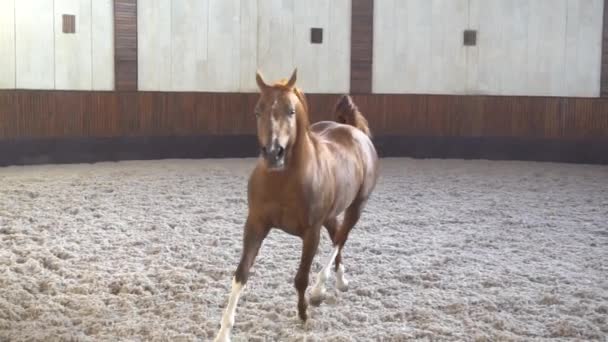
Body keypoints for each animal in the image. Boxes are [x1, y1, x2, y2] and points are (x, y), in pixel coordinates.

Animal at [213, 69, 376, 342]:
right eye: (258, 111)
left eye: (291, 111)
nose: (273, 153)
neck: (283, 179)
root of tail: (354, 131)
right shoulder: (255, 224)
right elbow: (241, 273)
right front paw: (224, 331)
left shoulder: (311, 233)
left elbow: (301, 278)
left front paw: (303, 314)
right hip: (331, 216)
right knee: (337, 237)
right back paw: (339, 281)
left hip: (357, 207)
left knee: (340, 239)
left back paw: (320, 290)